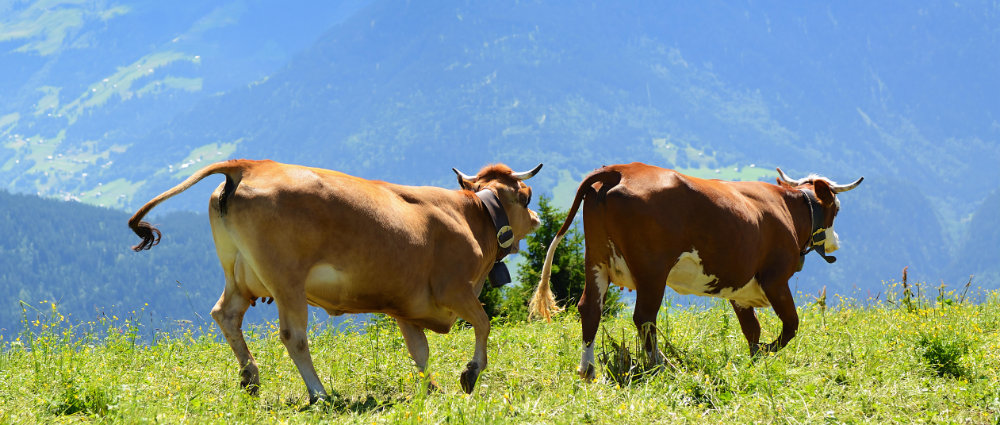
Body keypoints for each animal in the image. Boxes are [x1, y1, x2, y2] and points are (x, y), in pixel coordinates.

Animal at [132, 158, 544, 400]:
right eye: (526, 196)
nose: (538, 218)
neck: (471, 217)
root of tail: (250, 165)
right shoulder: (454, 288)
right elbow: (483, 323)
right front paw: (470, 373)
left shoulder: (406, 308)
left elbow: (420, 352)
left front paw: (432, 386)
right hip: (286, 281)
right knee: (293, 336)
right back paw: (319, 393)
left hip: (239, 275)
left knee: (226, 315)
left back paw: (250, 378)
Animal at [528, 162, 864, 378]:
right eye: (836, 209)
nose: (836, 242)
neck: (786, 210)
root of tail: (621, 168)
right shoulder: (775, 279)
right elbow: (791, 325)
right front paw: (767, 353)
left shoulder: (739, 289)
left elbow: (751, 331)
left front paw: (755, 360)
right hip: (652, 270)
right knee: (644, 317)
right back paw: (662, 366)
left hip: (595, 260)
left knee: (590, 309)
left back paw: (587, 370)